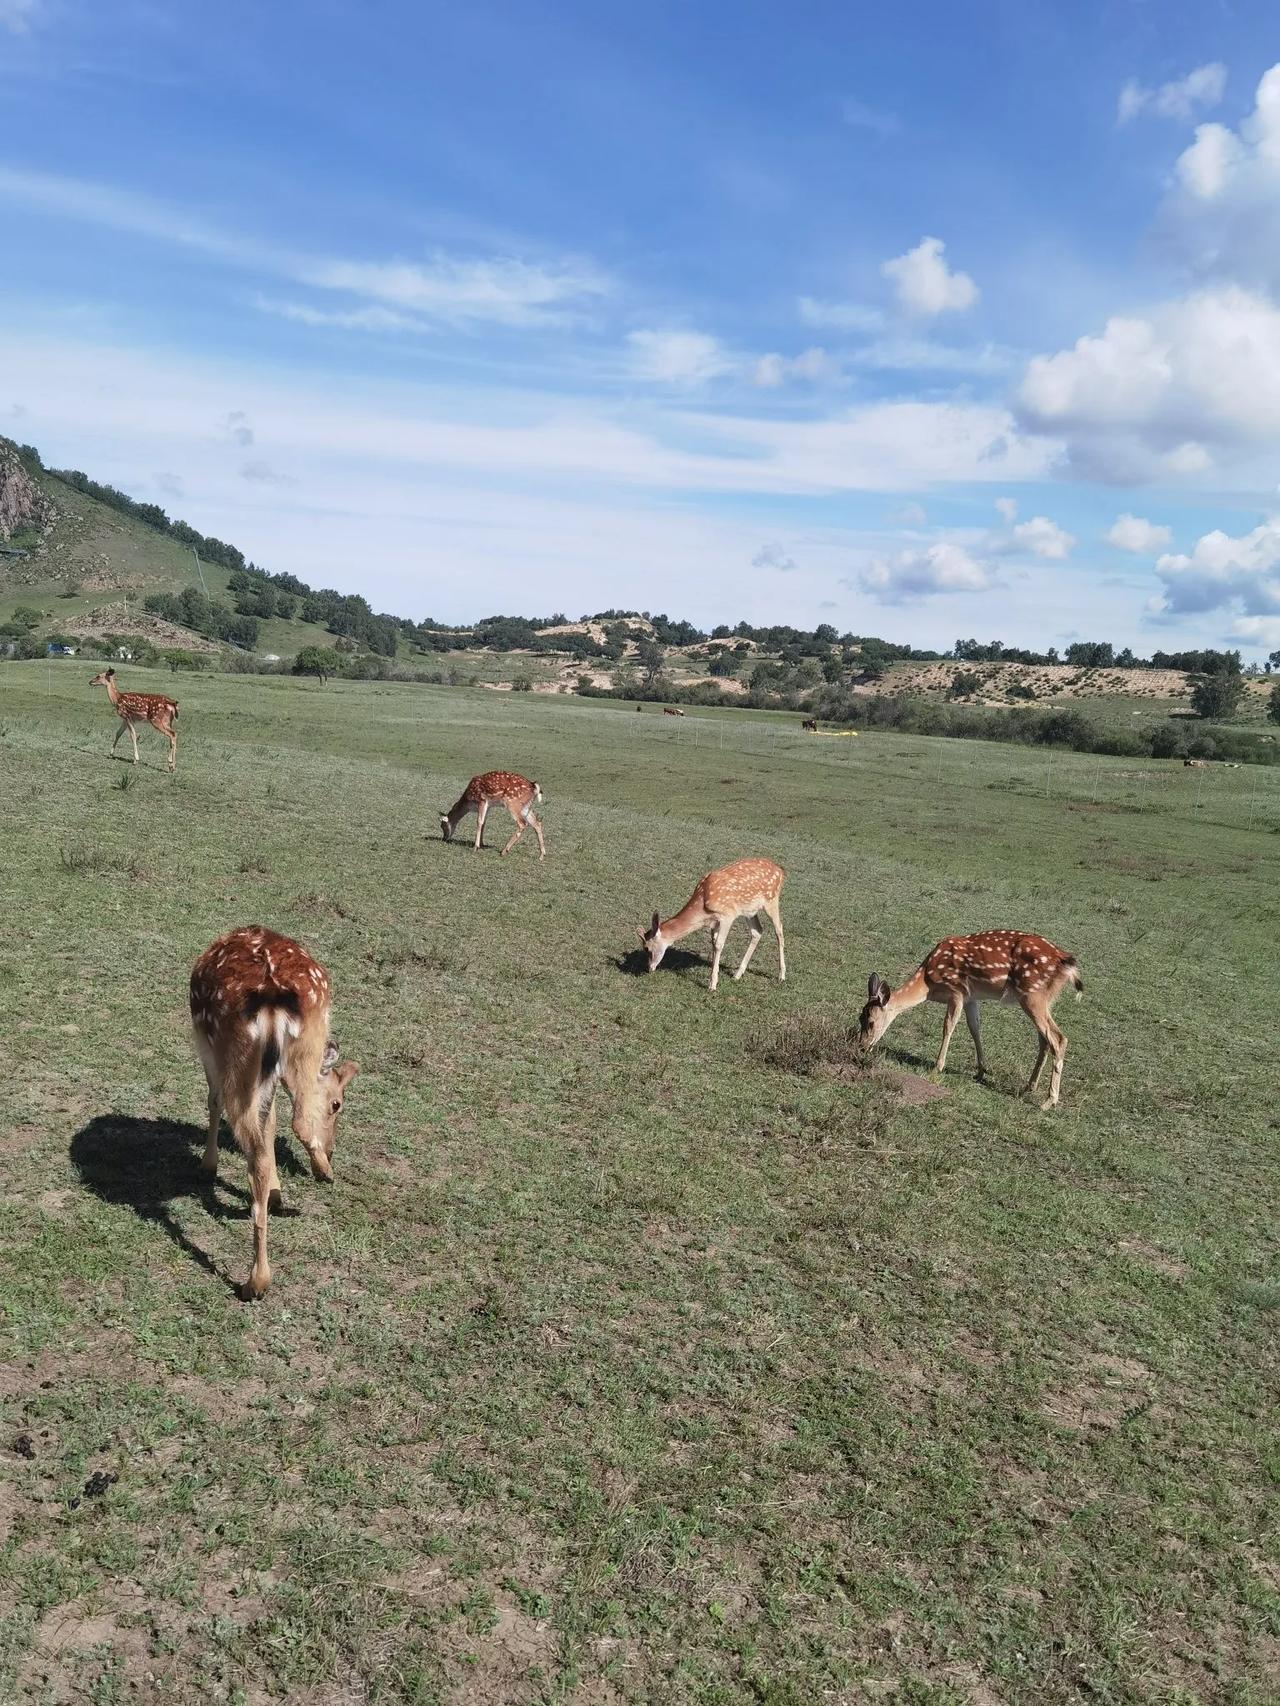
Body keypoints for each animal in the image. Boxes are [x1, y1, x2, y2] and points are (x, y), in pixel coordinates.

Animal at [190, 928, 361, 1296]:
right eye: (337, 1103)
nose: (332, 1150)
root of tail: (271, 1000)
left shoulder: (205, 1047)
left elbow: (214, 1100)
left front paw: (208, 1164)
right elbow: (270, 1123)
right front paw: (277, 1191)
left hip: (236, 1056)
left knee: (264, 1135)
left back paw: (255, 1281)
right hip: (305, 1044)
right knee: (275, 1134)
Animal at [638, 859, 788, 996]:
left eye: (647, 948)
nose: (649, 968)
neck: (703, 906)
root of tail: (781, 871)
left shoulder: (728, 915)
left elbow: (718, 944)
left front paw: (712, 985)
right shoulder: (714, 922)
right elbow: (713, 943)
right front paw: (713, 976)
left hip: (771, 900)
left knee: (779, 930)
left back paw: (781, 975)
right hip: (750, 910)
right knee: (757, 931)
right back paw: (737, 974)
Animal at [856, 928, 1085, 1112]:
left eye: (871, 1022)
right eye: (860, 1017)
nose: (862, 1046)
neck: (928, 983)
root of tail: (1066, 962)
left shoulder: (956, 990)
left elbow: (948, 1026)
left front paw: (937, 1067)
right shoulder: (970, 998)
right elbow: (975, 1028)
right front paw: (982, 1070)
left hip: (1032, 995)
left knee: (1059, 1038)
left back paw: (1049, 1101)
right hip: (1044, 999)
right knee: (1044, 1040)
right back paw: (1029, 1086)